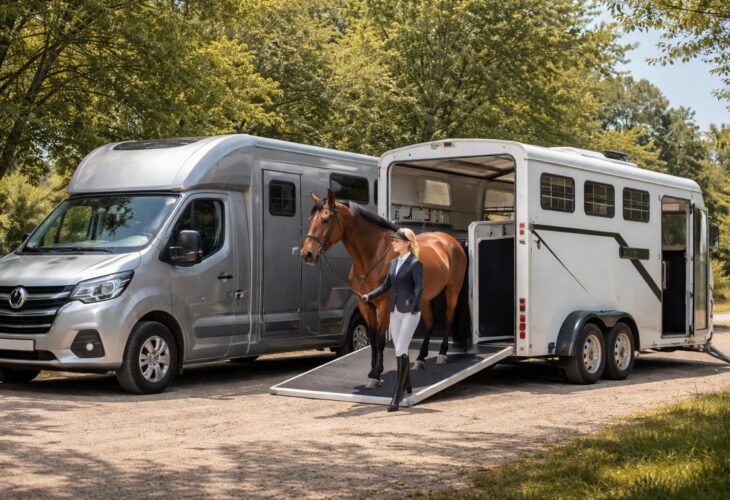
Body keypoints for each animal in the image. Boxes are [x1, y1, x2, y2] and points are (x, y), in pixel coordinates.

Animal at [300, 189, 469, 388]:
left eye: (325, 219)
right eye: (310, 220)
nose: (307, 254)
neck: (372, 258)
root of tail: (450, 241)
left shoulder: (385, 305)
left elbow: (380, 339)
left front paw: (376, 374)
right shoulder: (365, 304)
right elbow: (372, 339)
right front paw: (373, 371)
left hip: (452, 291)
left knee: (449, 318)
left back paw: (442, 354)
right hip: (426, 297)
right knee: (430, 322)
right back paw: (420, 359)